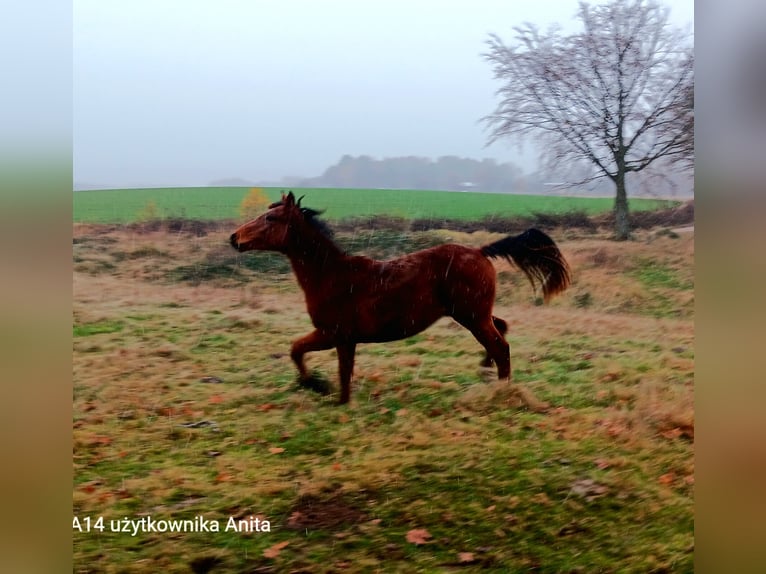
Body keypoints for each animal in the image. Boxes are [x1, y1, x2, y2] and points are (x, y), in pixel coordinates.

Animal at [228, 192, 568, 404]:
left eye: (271, 219)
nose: (234, 238)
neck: (331, 275)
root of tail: (480, 251)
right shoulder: (341, 337)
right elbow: (321, 361)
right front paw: (327, 392)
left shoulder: (334, 333)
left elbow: (306, 355)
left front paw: (320, 389)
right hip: (472, 314)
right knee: (501, 329)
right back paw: (485, 371)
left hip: (471, 316)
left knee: (501, 346)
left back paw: (502, 392)